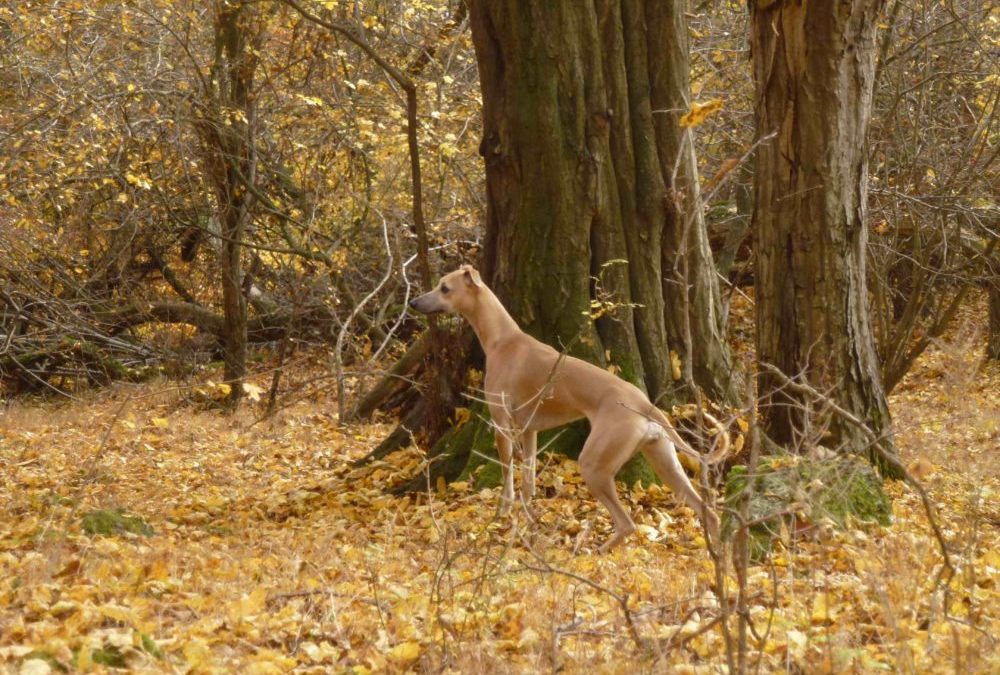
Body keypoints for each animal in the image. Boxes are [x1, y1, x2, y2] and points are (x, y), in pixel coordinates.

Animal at [410, 266, 724, 552]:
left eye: (445, 288)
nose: (414, 303)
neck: (504, 340)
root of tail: (644, 404)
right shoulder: (530, 431)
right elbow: (528, 483)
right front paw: (529, 522)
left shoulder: (501, 425)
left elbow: (508, 478)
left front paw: (503, 513)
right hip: (664, 462)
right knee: (709, 513)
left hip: (594, 465)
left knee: (627, 523)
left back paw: (596, 550)